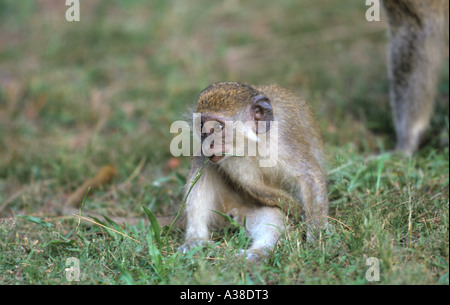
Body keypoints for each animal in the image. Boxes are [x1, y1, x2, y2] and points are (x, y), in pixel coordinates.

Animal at [178, 82, 328, 260]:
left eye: (218, 127)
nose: (208, 144)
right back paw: (197, 239)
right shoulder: (232, 160)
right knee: (204, 162)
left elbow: (309, 177)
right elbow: (253, 185)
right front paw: (298, 213)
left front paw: (317, 237)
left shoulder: (285, 141)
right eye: (202, 126)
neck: (255, 142)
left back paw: (256, 252)